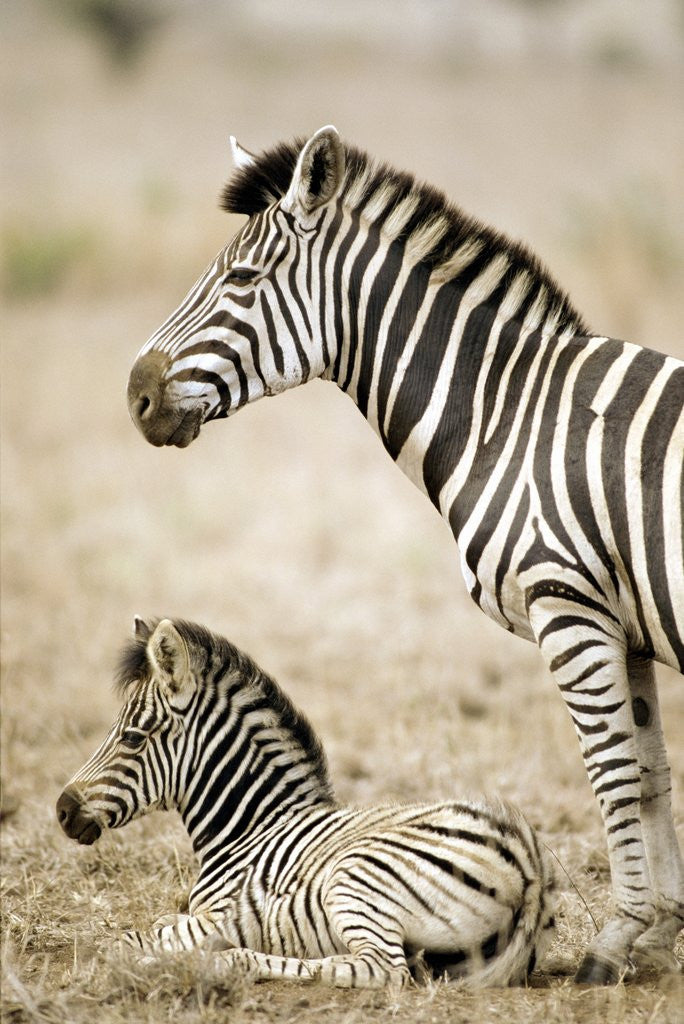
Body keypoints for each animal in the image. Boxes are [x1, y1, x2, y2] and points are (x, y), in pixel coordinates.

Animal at [56, 617, 557, 990]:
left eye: (132, 738)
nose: (61, 811)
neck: (250, 827)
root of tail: (527, 862)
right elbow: (153, 924)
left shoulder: (221, 918)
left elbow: (126, 939)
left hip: (356, 877)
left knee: (378, 969)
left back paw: (223, 962)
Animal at [126, 127, 684, 984]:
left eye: (243, 278)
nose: (136, 396)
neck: (507, 417)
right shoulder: (621, 623)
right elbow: (652, 774)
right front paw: (660, 936)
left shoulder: (569, 605)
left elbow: (613, 773)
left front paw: (615, 940)